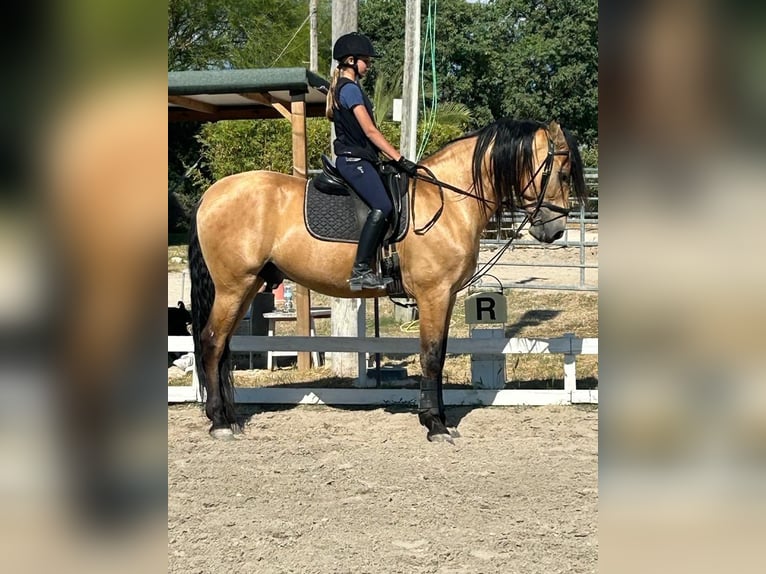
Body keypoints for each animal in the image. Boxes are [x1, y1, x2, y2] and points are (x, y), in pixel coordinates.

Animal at [188, 118, 587, 441]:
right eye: (563, 172)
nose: (555, 231)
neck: (447, 201)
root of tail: (211, 195)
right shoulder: (433, 295)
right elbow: (430, 356)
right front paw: (435, 425)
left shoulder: (446, 297)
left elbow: (439, 354)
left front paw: (439, 419)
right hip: (234, 286)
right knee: (211, 342)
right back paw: (219, 422)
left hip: (246, 286)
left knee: (222, 345)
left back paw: (227, 417)